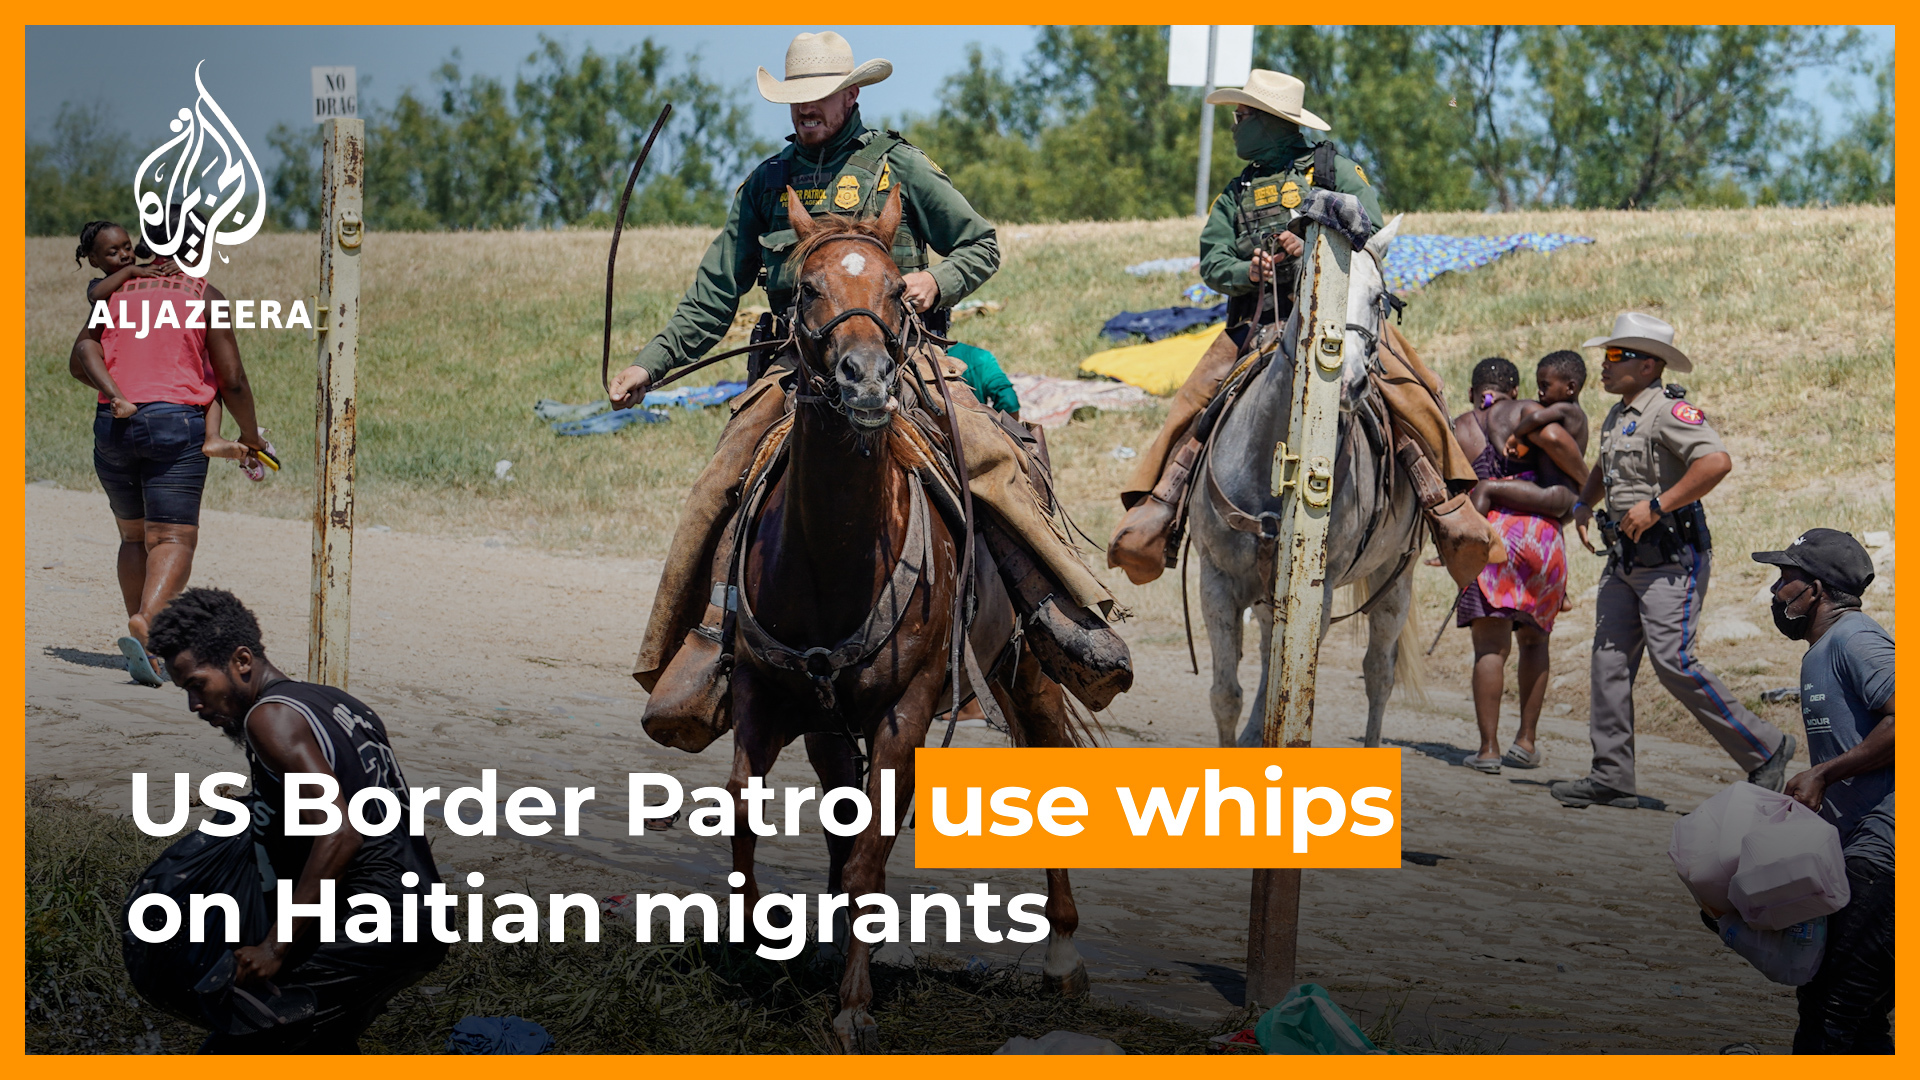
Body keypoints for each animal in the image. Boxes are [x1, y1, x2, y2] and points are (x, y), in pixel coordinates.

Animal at [723, 185, 1090, 1053]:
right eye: (806, 287)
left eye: (895, 289)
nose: (864, 380)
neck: (832, 559)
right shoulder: (767, 692)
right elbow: (749, 821)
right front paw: (761, 953)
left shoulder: (906, 706)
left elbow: (867, 854)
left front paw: (853, 1005)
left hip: (1021, 665)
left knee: (1047, 759)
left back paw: (1061, 953)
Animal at [1187, 220, 1426, 750]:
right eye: (1304, 289)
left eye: (1378, 298)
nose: (1350, 383)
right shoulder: (1217, 580)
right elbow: (1225, 695)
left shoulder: (1320, 589)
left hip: (1395, 577)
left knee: (1379, 672)